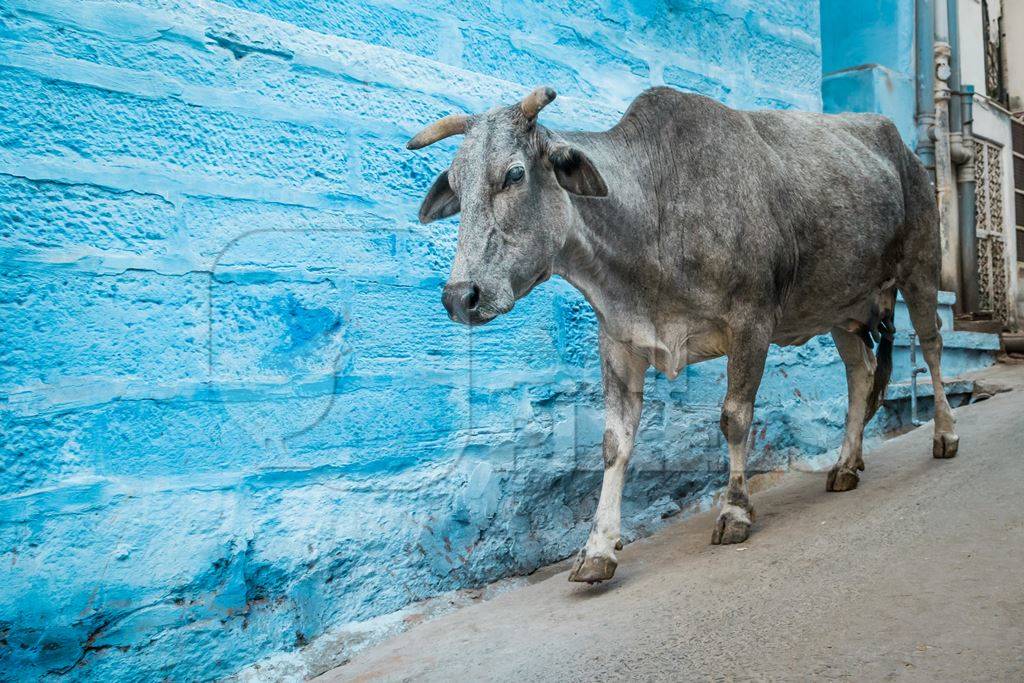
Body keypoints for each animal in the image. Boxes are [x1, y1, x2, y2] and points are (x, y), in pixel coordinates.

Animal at [405, 87, 958, 581]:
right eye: (455, 185)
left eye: (514, 174)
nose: (460, 296)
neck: (654, 211)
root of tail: (902, 147)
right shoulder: (619, 342)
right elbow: (614, 443)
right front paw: (598, 549)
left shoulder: (752, 321)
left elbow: (735, 419)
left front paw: (734, 511)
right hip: (839, 308)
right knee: (861, 373)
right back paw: (847, 464)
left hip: (921, 268)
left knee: (932, 349)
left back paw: (945, 434)